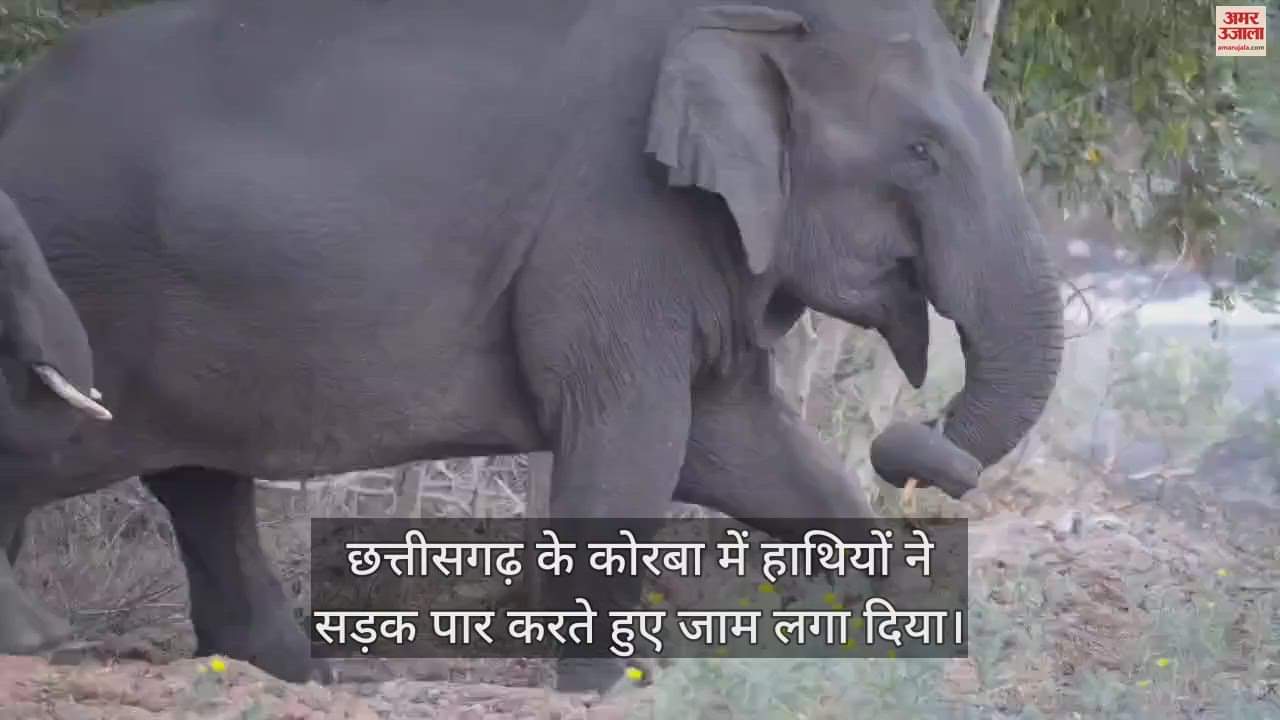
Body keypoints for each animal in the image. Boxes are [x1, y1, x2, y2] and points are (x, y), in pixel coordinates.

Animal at [0, 0, 1064, 693]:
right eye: (920, 152)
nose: (911, 438)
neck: (747, 17)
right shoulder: (617, 223)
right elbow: (634, 447)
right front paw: (604, 690)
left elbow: (743, 447)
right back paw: (51, 641)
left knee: (201, 484)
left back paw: (291, 675)